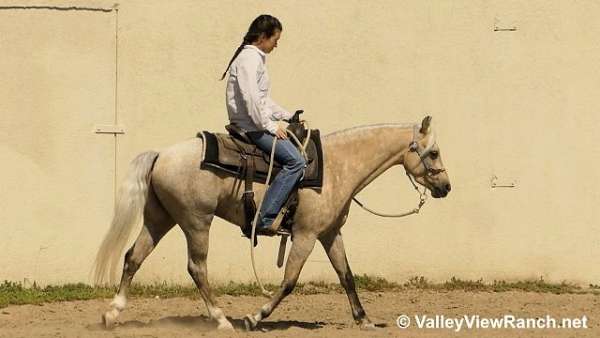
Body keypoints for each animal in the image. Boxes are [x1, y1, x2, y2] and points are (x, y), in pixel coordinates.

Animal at [92, 115, 450, 330]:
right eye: (433, 153)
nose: (446, 187)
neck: (336, 167)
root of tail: (161, 155)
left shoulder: (330, 233)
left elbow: (346, 275)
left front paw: (364, 319)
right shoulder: (305, 235)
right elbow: (290, 281)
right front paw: (255, 316)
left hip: (160, 218)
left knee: (133, 257)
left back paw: (112, 312)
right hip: (196, 222)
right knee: (197, 268)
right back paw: (221, 319)